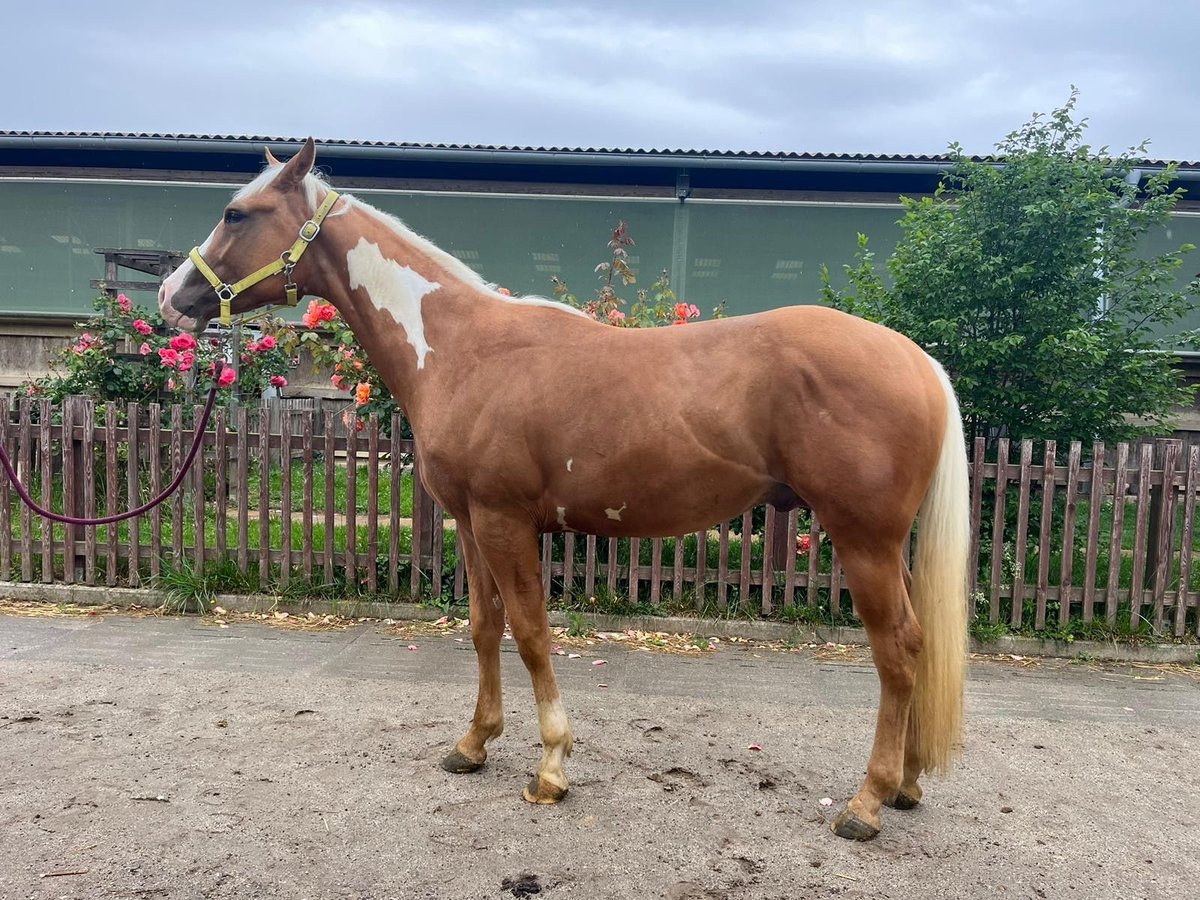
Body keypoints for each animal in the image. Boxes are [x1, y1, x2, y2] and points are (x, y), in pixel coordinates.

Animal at [159, 137, 969, 844]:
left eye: (237, 212)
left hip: (862, 541)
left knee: (897, 651)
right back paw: (905, 783)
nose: (170, 295)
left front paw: (551, 766)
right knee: (916, 646)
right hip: (887, 548)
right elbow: (484, 628)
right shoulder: (471, 523)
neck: (459, 348)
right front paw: (474, 743)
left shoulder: (505, 522)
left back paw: (866, 803)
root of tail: (917, 359)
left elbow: (531, 634)